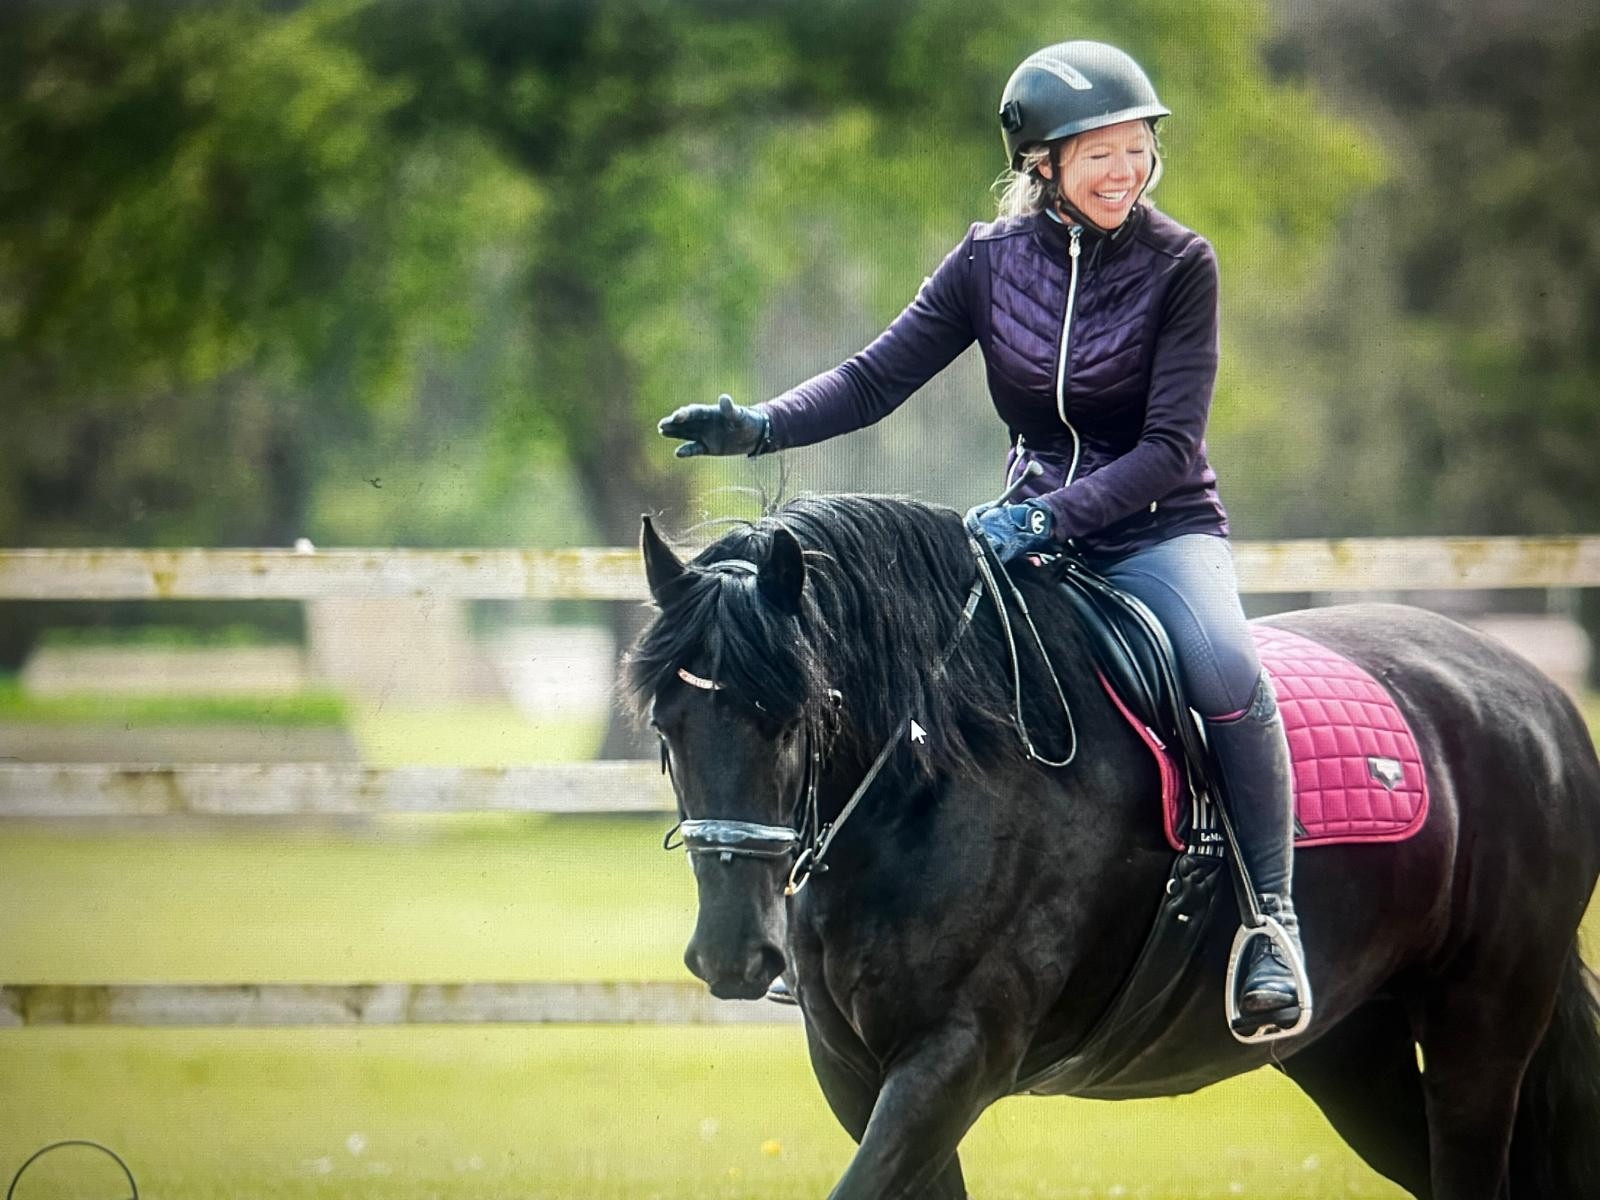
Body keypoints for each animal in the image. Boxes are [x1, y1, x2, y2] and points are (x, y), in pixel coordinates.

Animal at [623, 493, 1600, 1200]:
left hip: (1481, 1038)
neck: (936, 786)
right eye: (667, 726)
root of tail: (1535, 700)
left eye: (794, 718)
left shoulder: (953, 1060)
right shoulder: (861, 1076)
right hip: (1353, 1051)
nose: (732, 955)